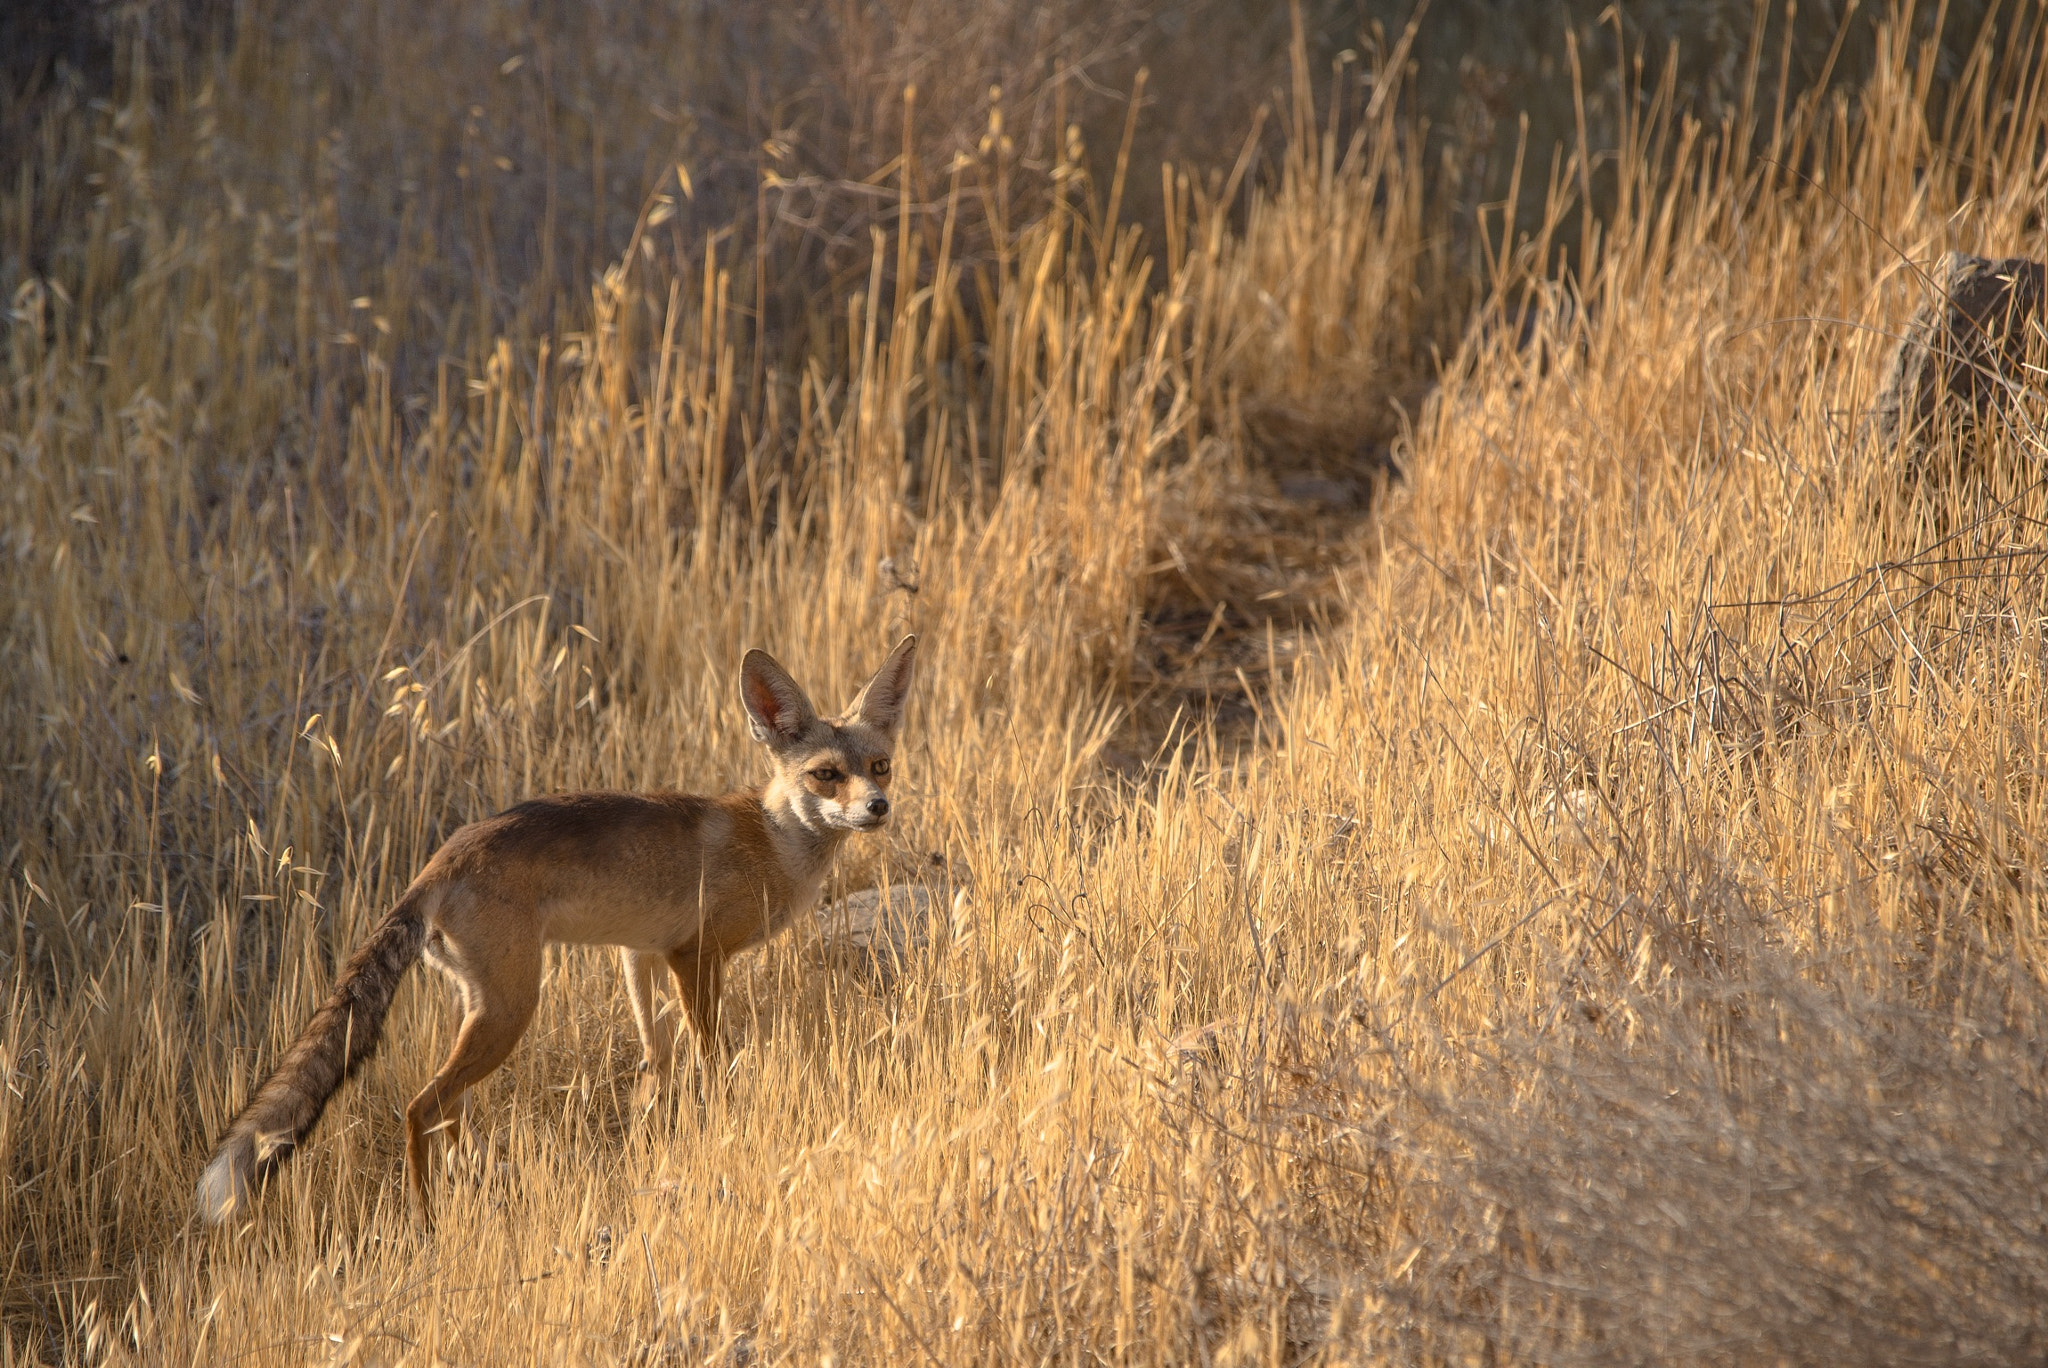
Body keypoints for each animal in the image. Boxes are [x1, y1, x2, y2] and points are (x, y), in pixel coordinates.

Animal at [196, 635, 917, 1226]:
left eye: (879, 766)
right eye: (826, 774)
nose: (878, 808)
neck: (771, 843)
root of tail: (440, 861)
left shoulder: (640, 953)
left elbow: (656, 1062)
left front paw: (654, 1136)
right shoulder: (695, 956)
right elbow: (711, 1061)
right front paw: (726, 1129)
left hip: (485, 1008)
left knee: (449, 1109)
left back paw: (477, 1187)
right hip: (512, 1009)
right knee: (420, 1108)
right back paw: (428, 1223)